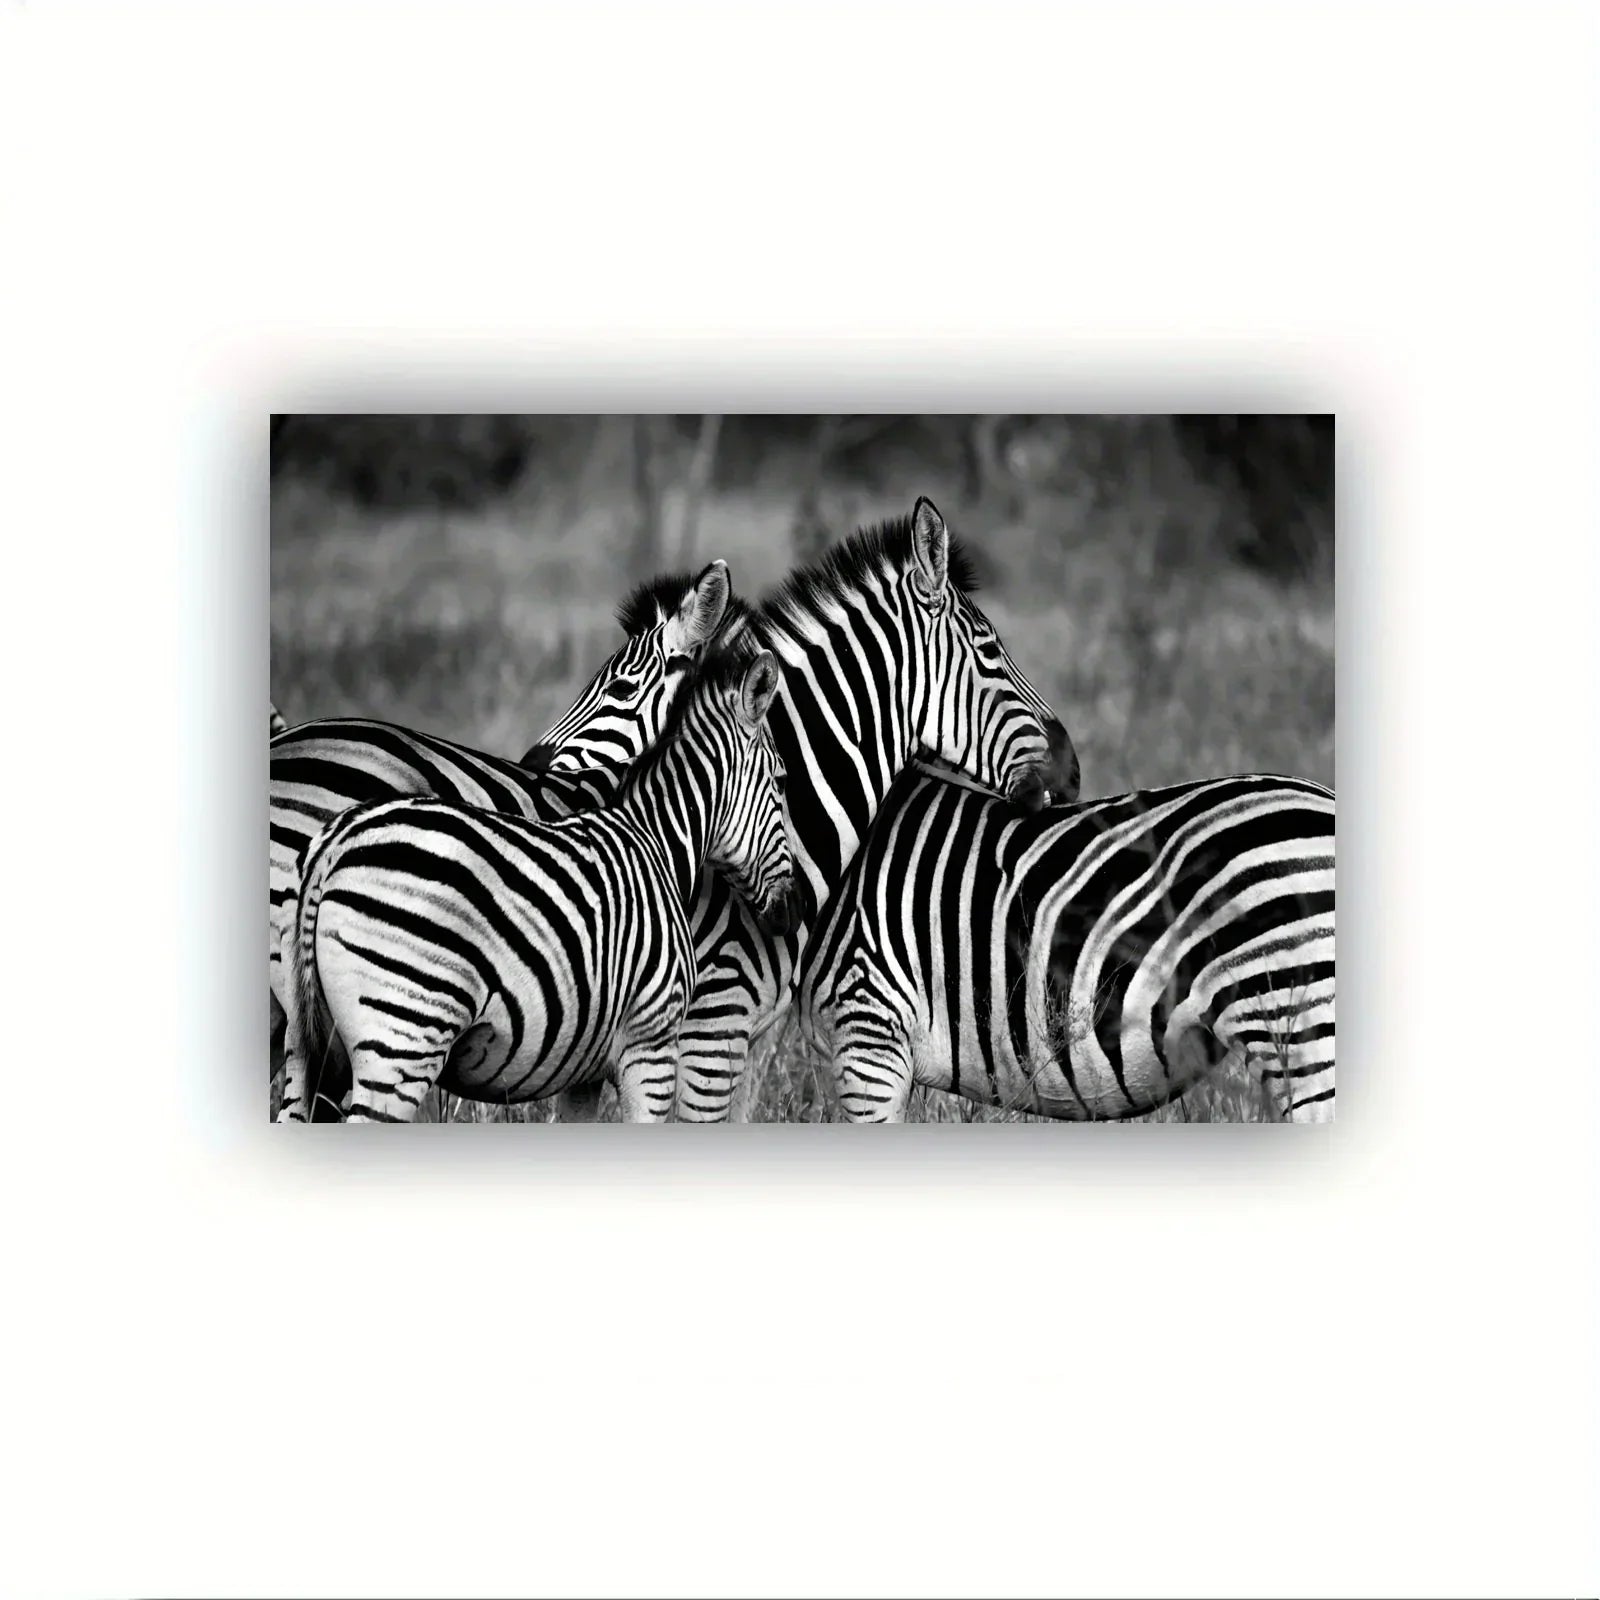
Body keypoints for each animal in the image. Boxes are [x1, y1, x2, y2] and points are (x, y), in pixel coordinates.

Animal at [278, 638, 797, 1124]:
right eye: (780, 780)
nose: (792, 913)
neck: (656, 839)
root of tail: (336, 843)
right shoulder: (651, 1044)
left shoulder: (584, 1068)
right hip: (403, 1036)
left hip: (306, 1042)